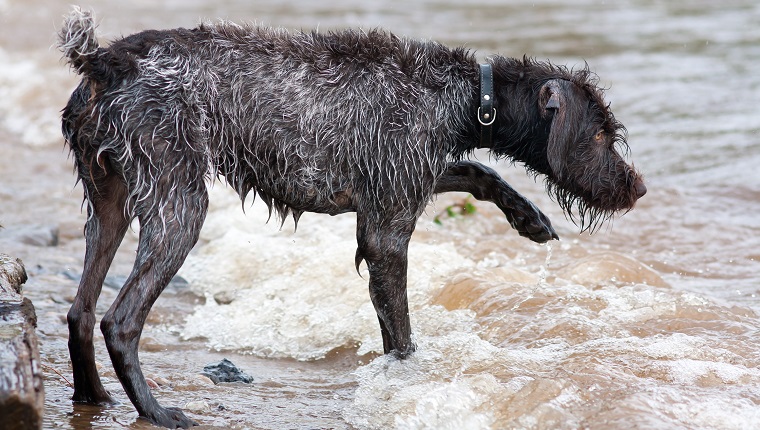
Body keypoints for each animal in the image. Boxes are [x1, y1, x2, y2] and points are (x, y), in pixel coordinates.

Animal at [56, 6, 644, 426]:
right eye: (599, 134)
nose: (637, 188)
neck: (460, 97)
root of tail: (104, 61)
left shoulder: (401, 183)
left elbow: (476, 170)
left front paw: (528, 215)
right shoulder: (387, 230)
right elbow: (401, 339)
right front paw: (406, 385)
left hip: (110, 206)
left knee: (80, 312)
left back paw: (93, 397)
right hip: (179, 205)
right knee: (119, 321)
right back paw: (155, 412)